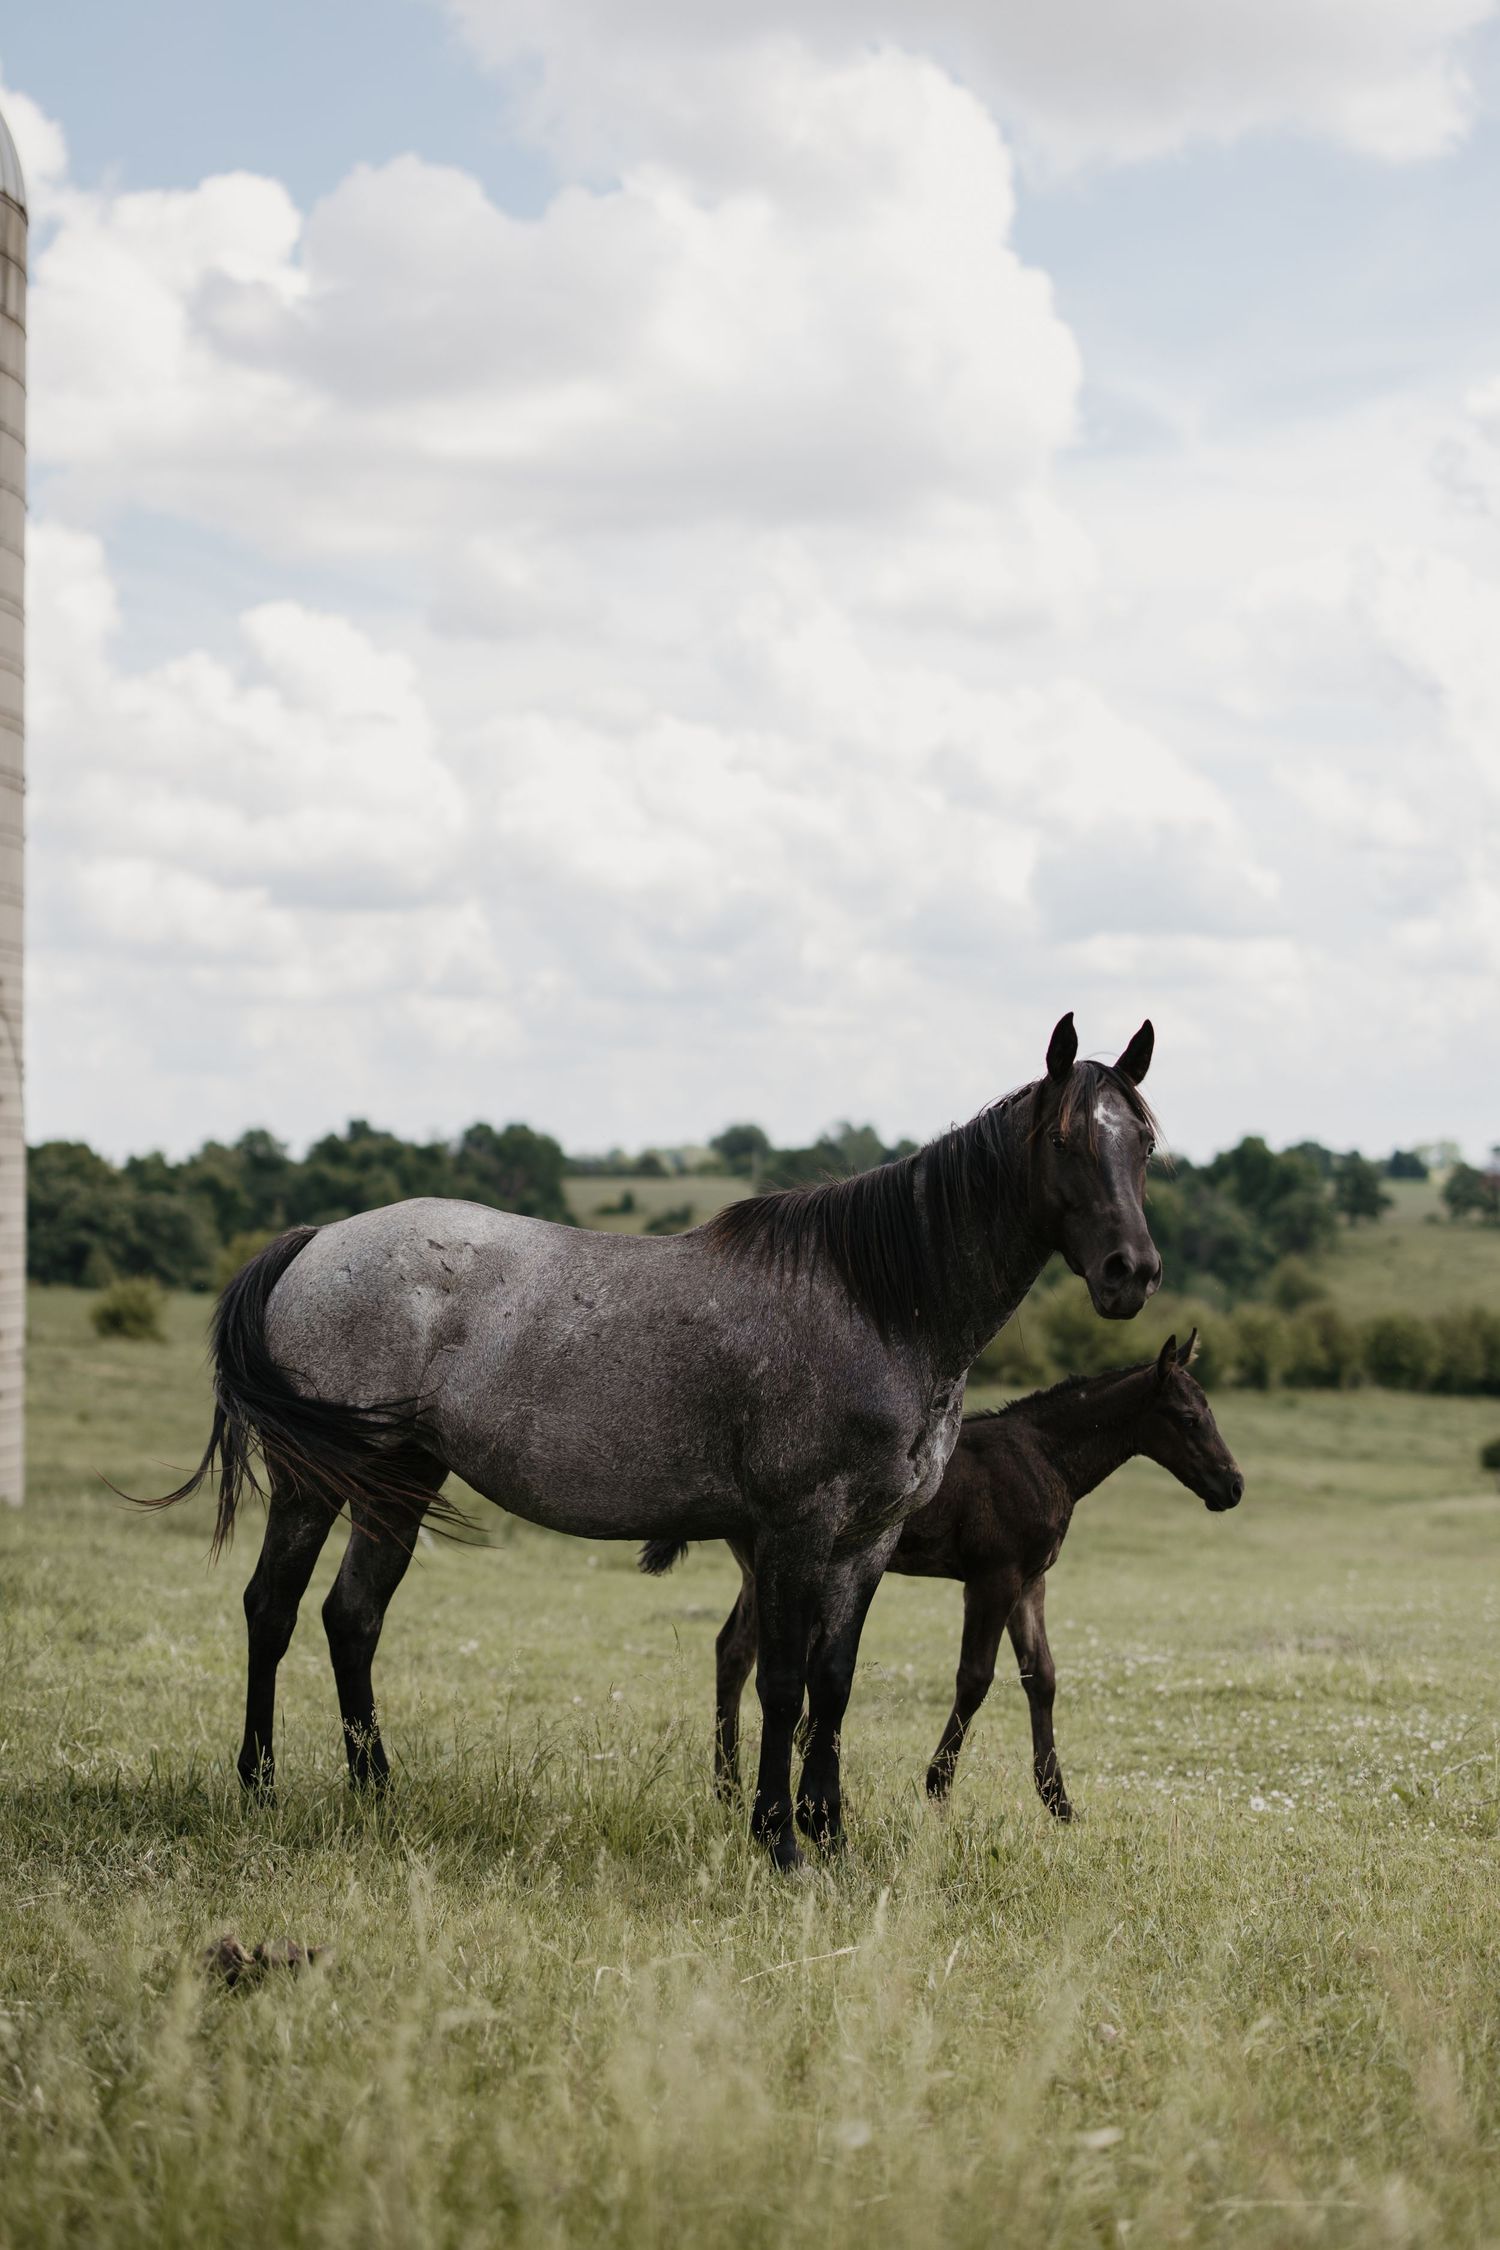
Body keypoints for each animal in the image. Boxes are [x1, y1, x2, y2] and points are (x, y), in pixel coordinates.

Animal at [143, 1011, 1163, 1870]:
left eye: (1146, 1143)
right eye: (1067, 1141)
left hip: (400, 1480)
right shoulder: (794, 1533)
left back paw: (378, 1794)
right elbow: (782, 1685)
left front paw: (830, 1837)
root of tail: (317, 1242)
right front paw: (778, 1841)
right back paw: (260, 1787)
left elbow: (833, 1685)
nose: (1133, 1273)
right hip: (315, 1483)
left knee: (350, 1619)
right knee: (271, 1609)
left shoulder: (867, 1542)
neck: (878, 1304)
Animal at [643, 1331, 1242, 1818]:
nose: (1232, 1486)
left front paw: (1059, 1801)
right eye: (1188, 1418)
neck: (1045, 1457)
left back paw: (728, 1789)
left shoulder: (1031, 1580)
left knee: (733, 1650)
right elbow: (975, 1677)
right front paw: (937, 1787)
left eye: (1210, 1411)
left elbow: (1042, 1675)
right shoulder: (993, 1577)